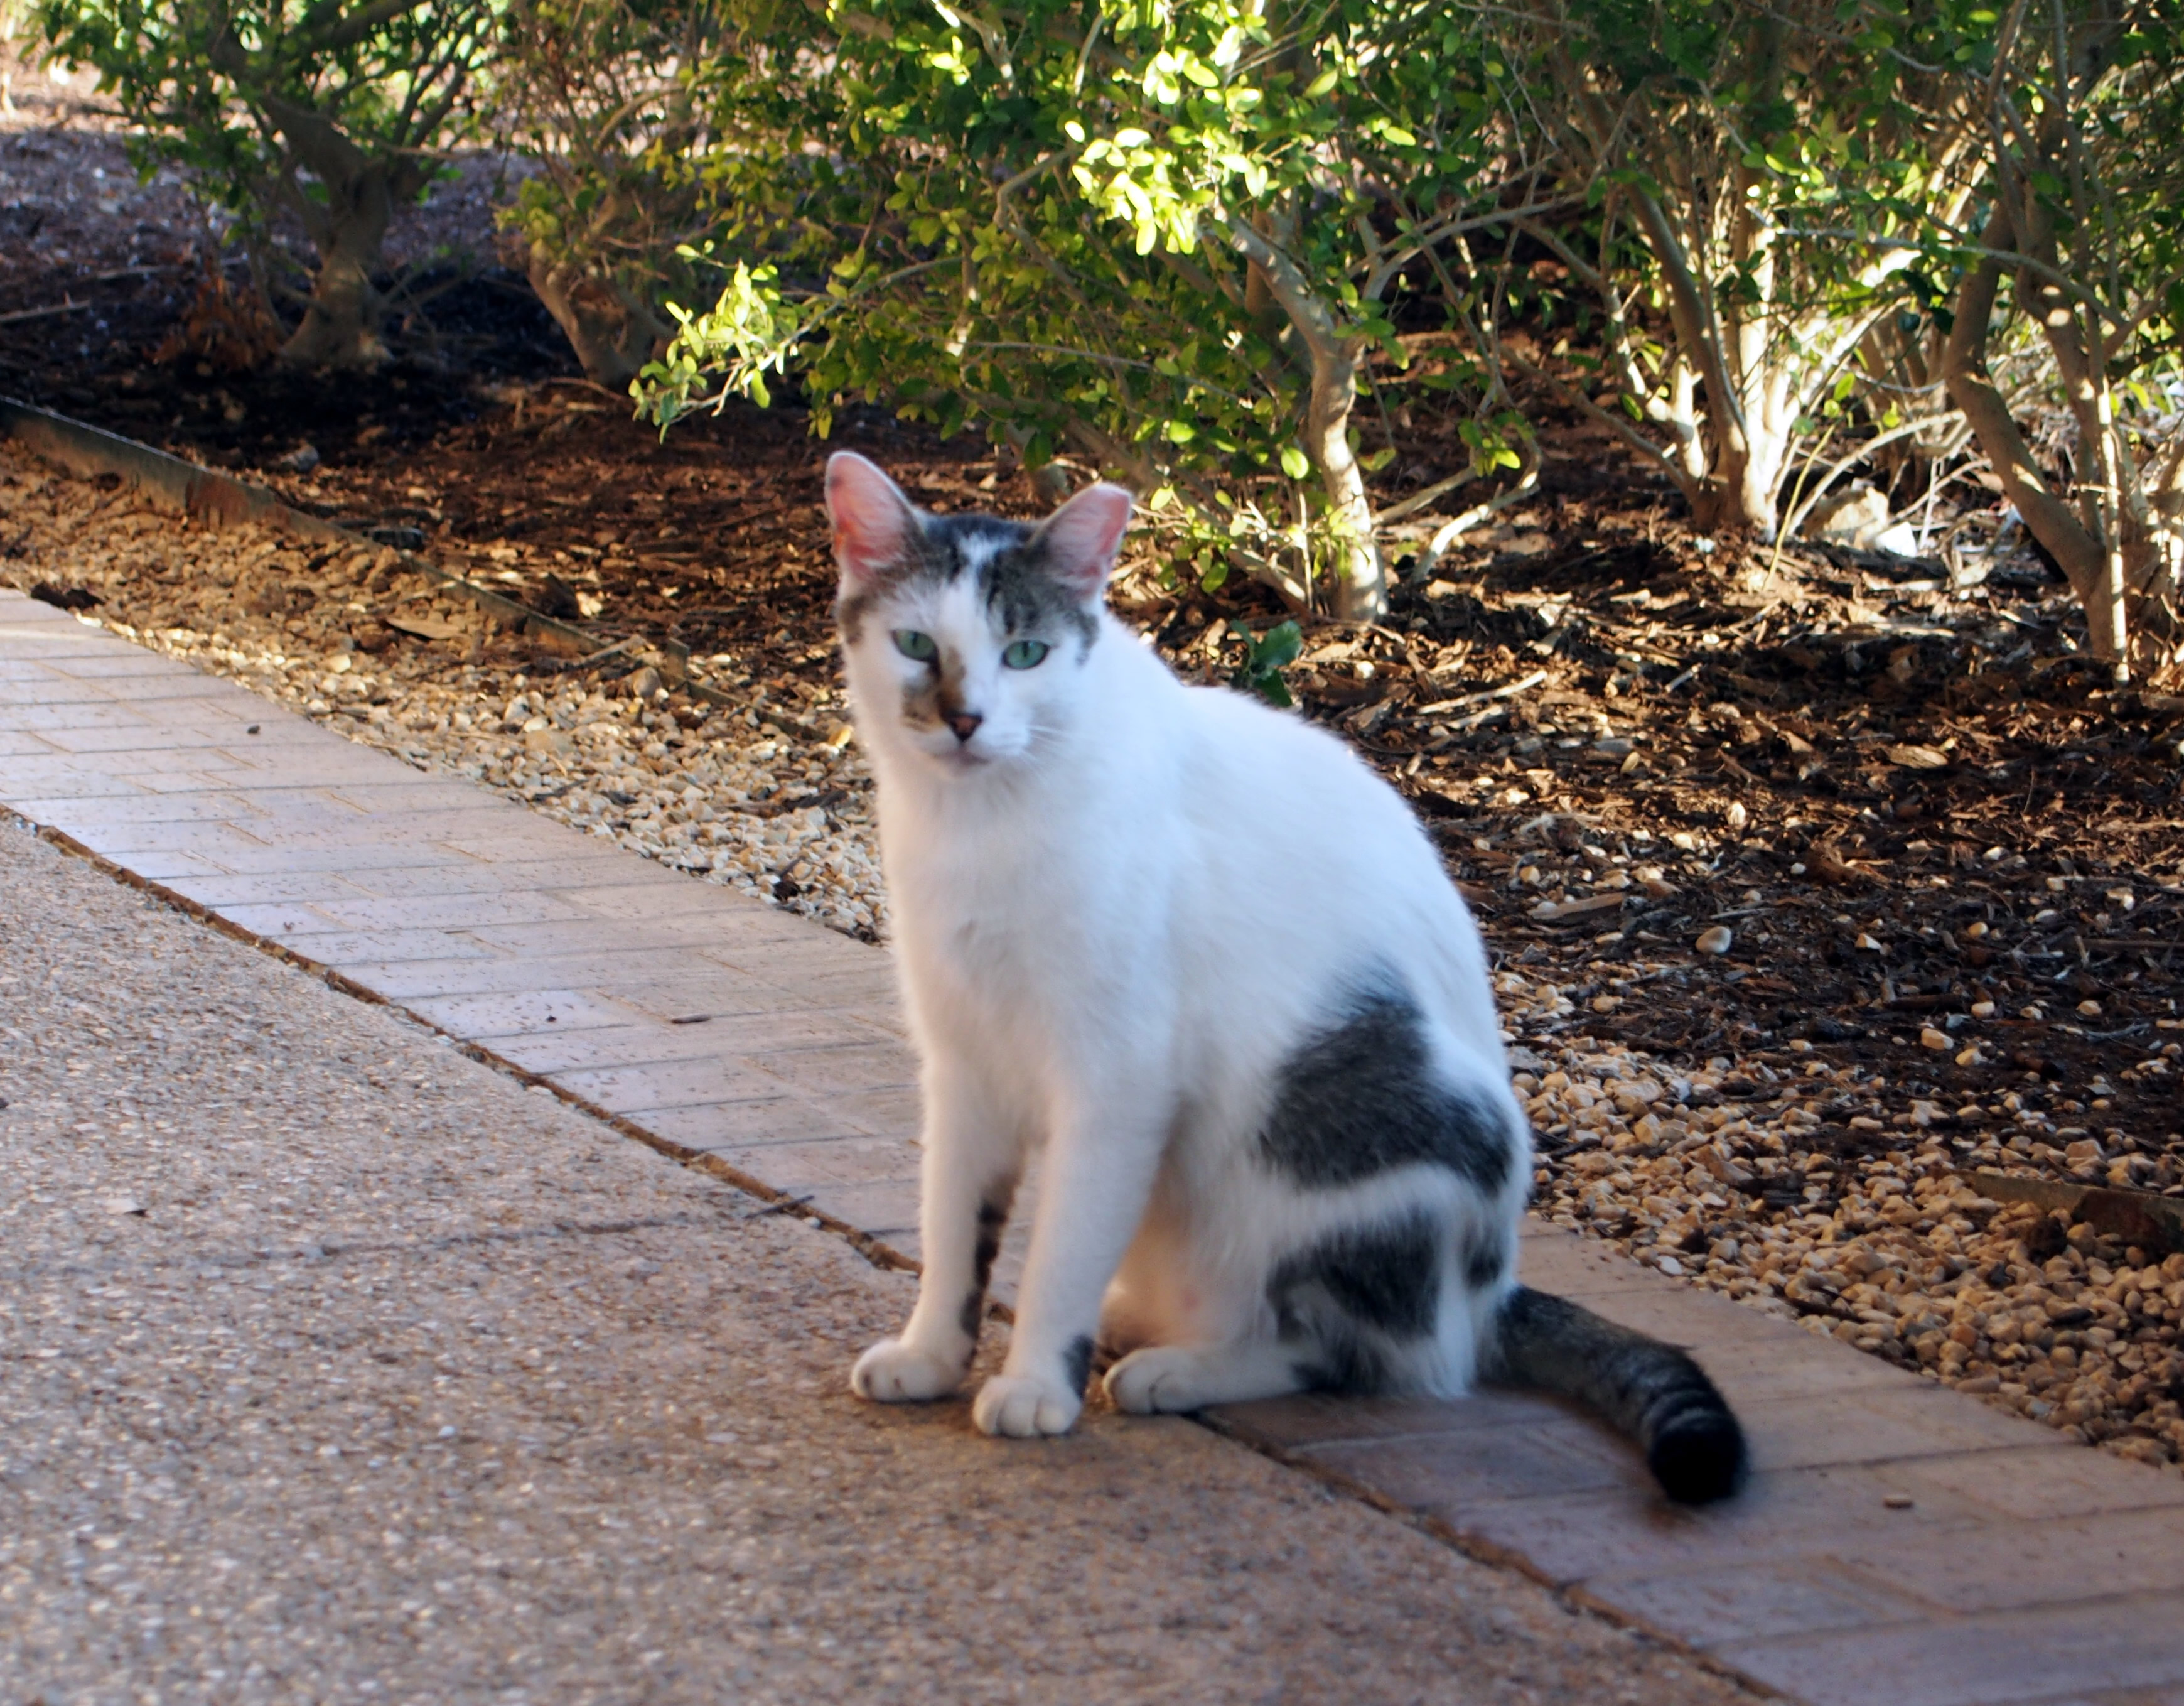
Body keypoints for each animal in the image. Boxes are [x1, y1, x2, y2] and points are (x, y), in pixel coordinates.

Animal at [825, 451, 1745, 1503]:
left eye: (1025, 654)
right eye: (914, 644)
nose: (966, 719)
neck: (980, 827)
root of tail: (1492, 1291)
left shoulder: (1115, 1081)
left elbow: (1059, 1250)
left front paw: (1032, 1387)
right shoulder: (962, 1062)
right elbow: (952, 1228)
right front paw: (930, 1356)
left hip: (1351, 1141)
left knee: (1360, 1353)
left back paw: (1179, 1369)